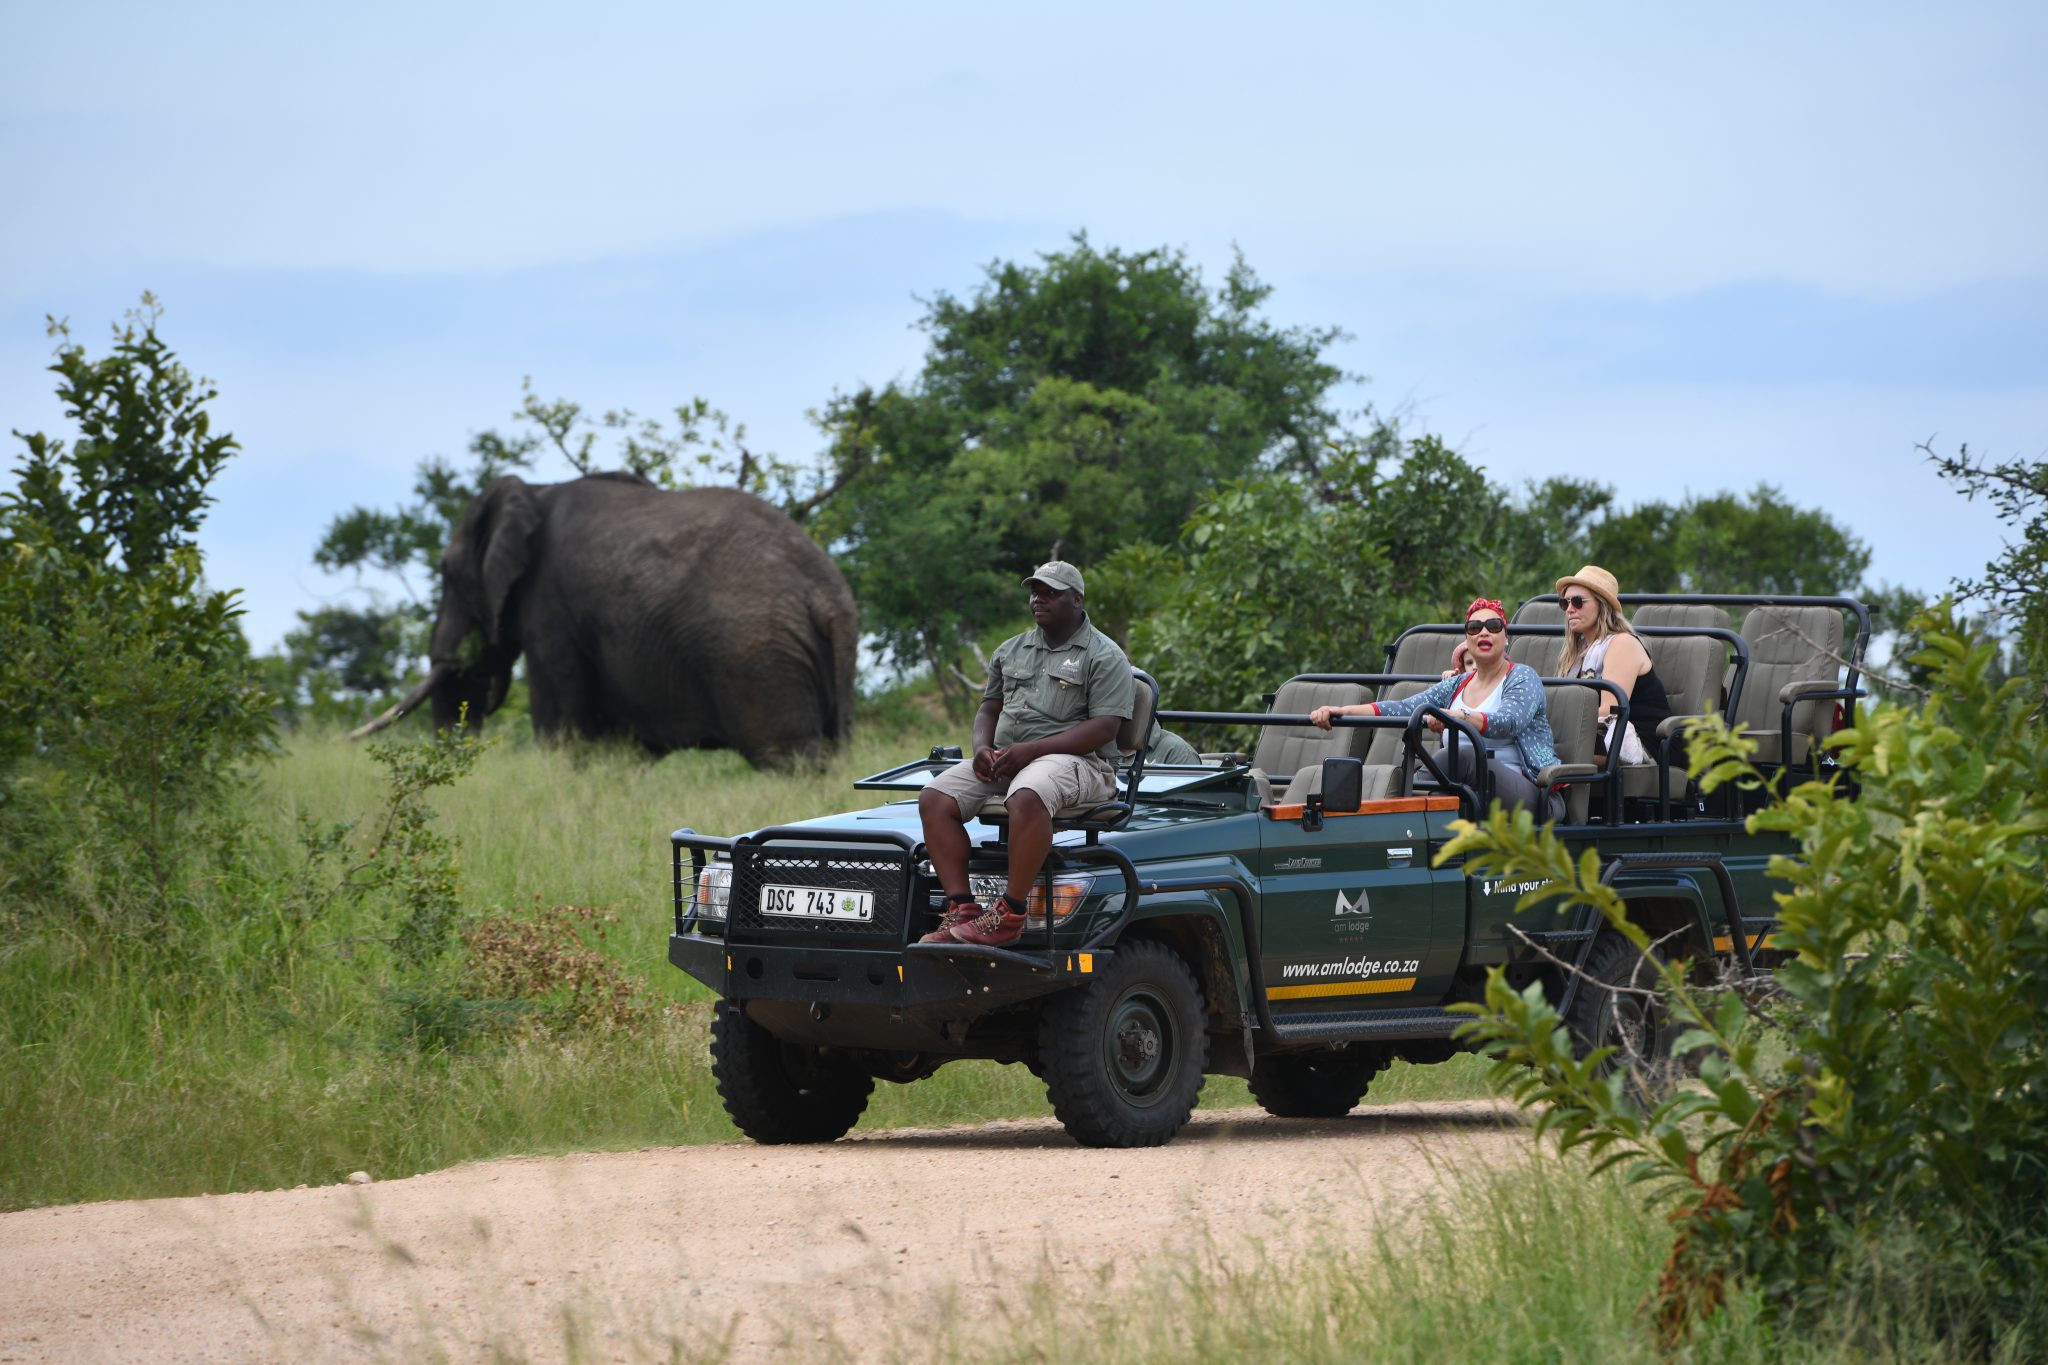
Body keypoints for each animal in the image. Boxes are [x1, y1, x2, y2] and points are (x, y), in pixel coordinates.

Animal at [352, 470, 856, 769]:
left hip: (756, 652)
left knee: (786, 758)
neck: (536, 489)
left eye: (447, 573)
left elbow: (557, 716)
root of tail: (827, 594)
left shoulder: (549, 606)